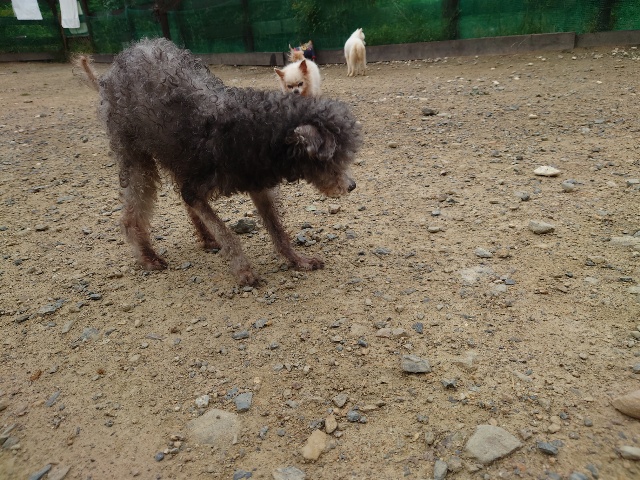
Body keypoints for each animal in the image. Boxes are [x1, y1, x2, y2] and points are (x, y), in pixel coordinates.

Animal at [75, 38, 361, 286]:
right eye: (332, 159)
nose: (352, 186)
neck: (256, 132)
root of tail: (108, 74)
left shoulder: (257, 186)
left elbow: (277, 230)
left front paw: (297, 260)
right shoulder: (195, 189)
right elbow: (227, 233)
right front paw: (243, 270)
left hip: (177, 159)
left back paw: (205, 237)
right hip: (137, 157)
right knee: (132, 214)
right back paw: (148, 257)